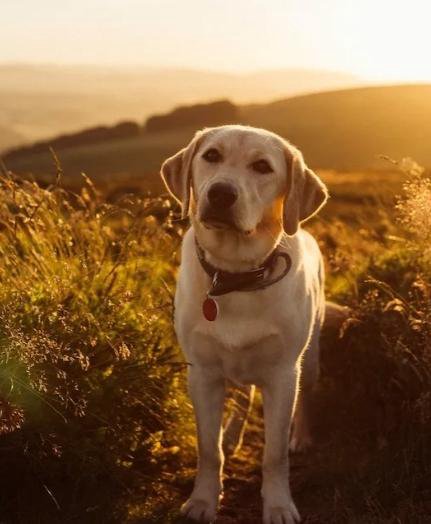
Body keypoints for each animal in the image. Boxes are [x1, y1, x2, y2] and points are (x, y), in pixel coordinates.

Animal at [162, 125, 330, 520]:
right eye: (211, 156)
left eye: (262, 166)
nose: (221, 193)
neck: (234, 275)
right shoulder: (203, 373)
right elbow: (208, 449)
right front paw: (204, 501)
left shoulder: (283, 374)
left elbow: (274, 454)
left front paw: (279, 505)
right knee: (242, 396)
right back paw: (233, 434)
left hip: (310, 359)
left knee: (306, 400)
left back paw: (301, 437)